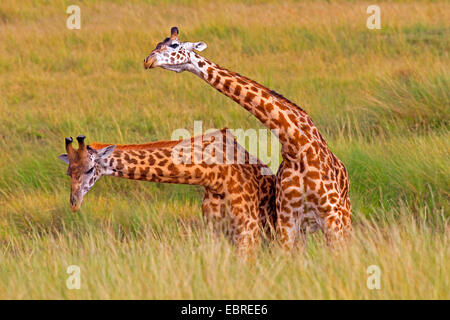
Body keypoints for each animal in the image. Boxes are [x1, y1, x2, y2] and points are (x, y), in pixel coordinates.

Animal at [58, 129, 276, 254]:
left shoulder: (248, 227)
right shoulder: (214, 229)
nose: (74, 203)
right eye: (68, 172)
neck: (214, 174)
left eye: (89, 169)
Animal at [144, 26, 352, 249]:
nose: (147, 60)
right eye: (157, 44)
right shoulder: (287, 219)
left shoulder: (330, 216)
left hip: (344, 218)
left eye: (174, 45)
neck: (297, 146)